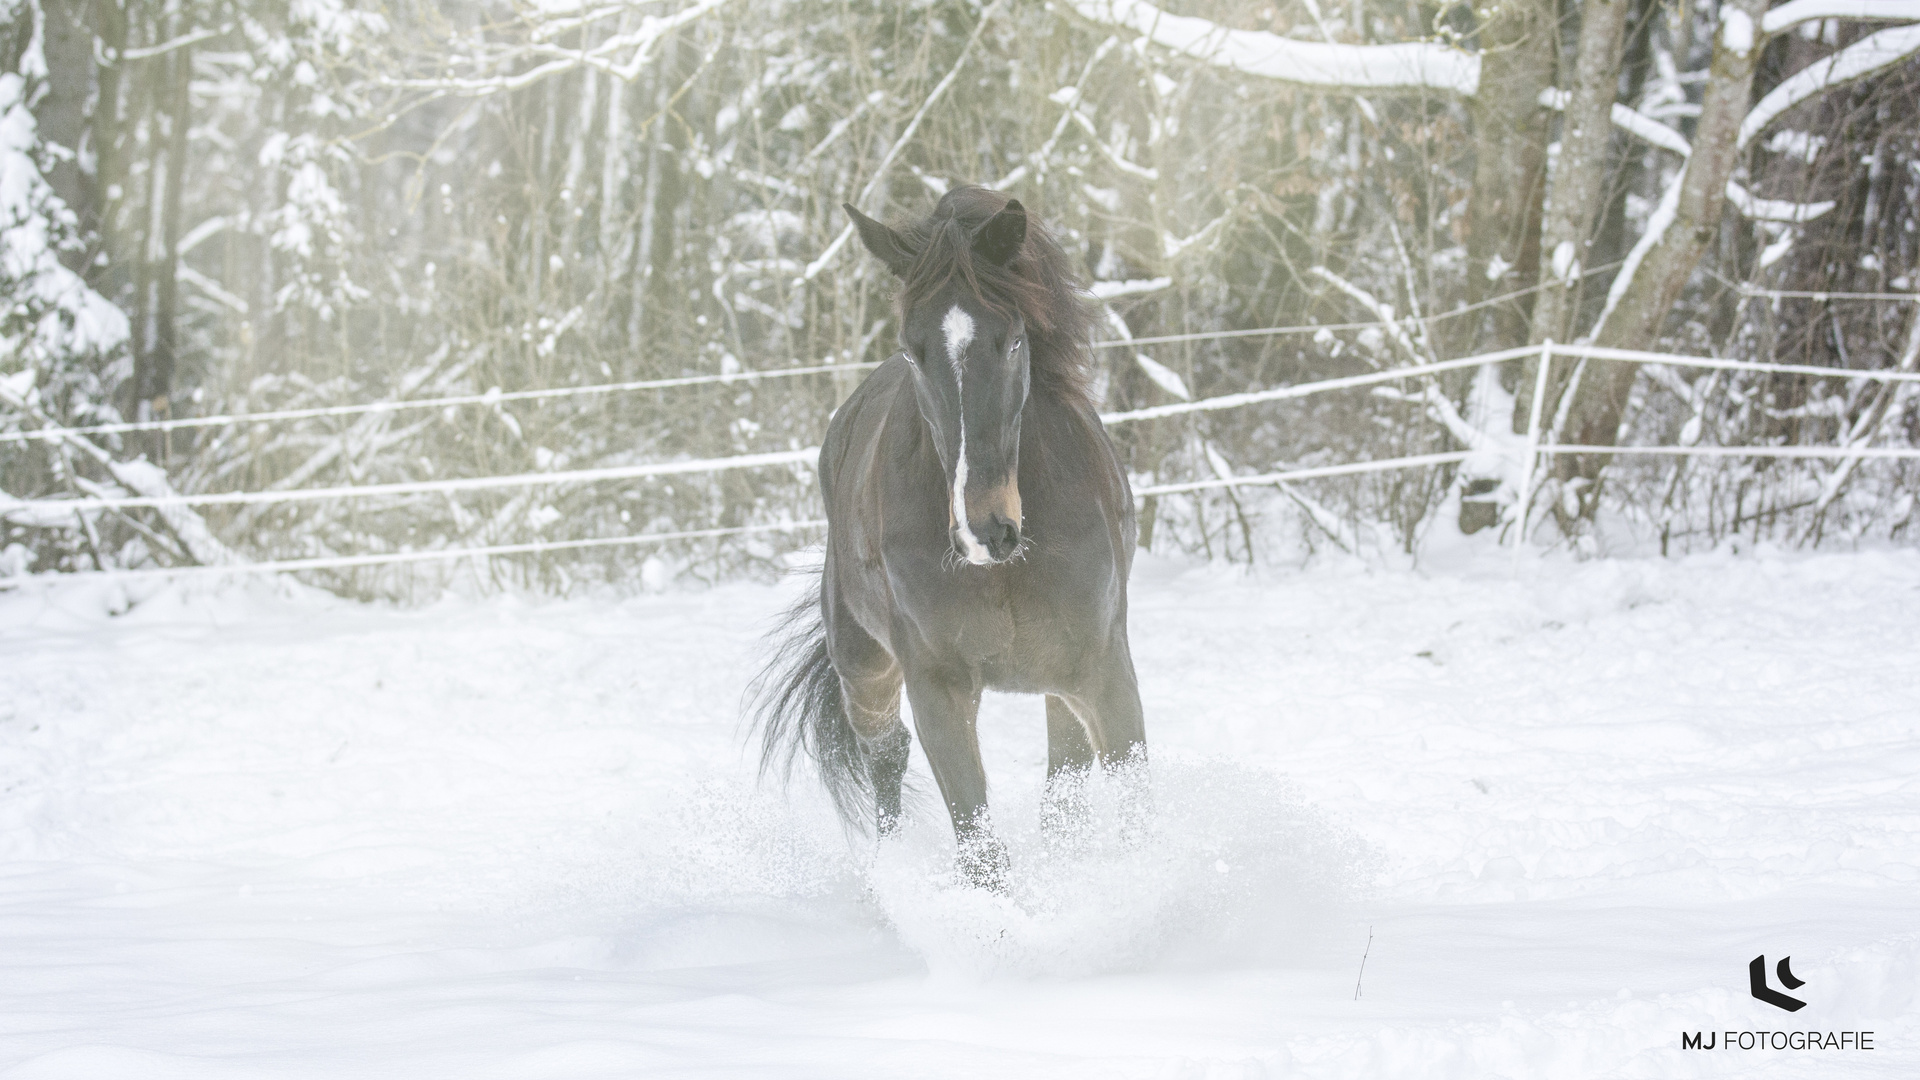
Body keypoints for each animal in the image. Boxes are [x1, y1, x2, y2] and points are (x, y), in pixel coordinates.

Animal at [744, 187, 1136, 883]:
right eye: (912, 349)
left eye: (1014, 341)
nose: (984, 530)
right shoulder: (939, 689)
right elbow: (980, 851)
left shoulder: (1103, 669)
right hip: (865, 670)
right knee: (885, 756)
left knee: (1063, 780)